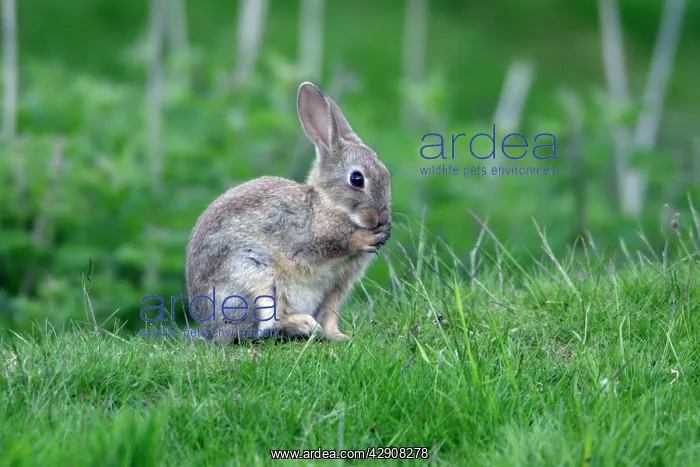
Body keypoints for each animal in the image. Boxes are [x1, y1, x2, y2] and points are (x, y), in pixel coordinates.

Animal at [185, 82, 391, 344]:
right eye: (357, 179)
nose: (382, 218)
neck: (329, 204)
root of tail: (209, 330)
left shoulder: (338, 285)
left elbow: (330, 315)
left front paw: (339, 337)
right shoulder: (303, 239)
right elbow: (326, 245)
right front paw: (364, 238)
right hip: (252, 278)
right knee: (263, 328)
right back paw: (302, 324)